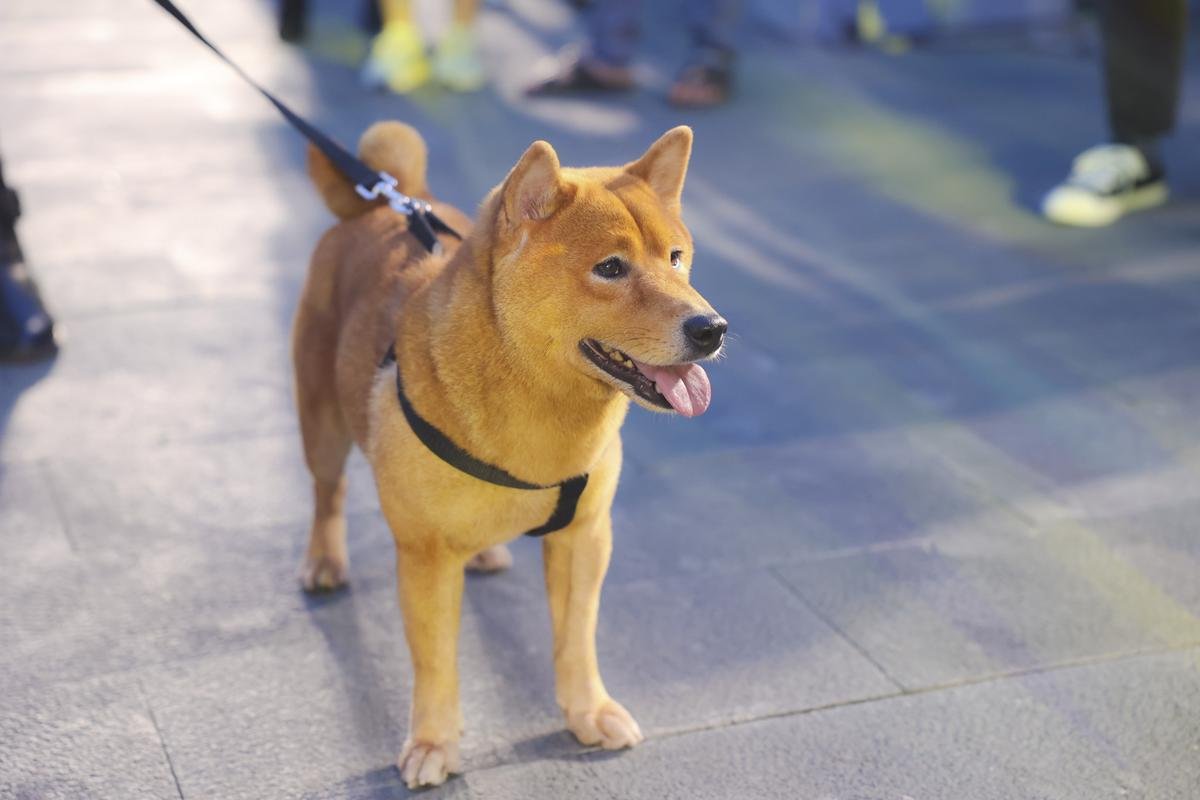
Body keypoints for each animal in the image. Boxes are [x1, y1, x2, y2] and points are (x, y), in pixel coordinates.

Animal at [292, 122, 720, 791]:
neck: (545, 408)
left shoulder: (585, 536)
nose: (712, 327)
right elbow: (437, 663)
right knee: (326, 491)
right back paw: (324, 559)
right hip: (322, 419)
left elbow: (576, 639)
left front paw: (588, 712)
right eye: (610, 268)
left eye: (676, 258)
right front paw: (434, 743)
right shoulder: (426, 556)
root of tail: (389, 199)